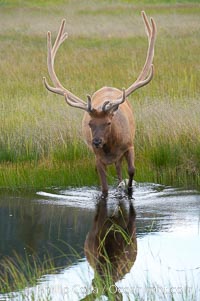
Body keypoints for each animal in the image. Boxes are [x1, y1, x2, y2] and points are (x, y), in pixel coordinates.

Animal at [43, 11, 156, 195]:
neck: (110, 147)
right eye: (90, 123)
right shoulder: (97, 157)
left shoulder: (129, 145)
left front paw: (128, 189)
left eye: (108, 122)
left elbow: (132, 170)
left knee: (119, 169)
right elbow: (104, 187)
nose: (96, 141)